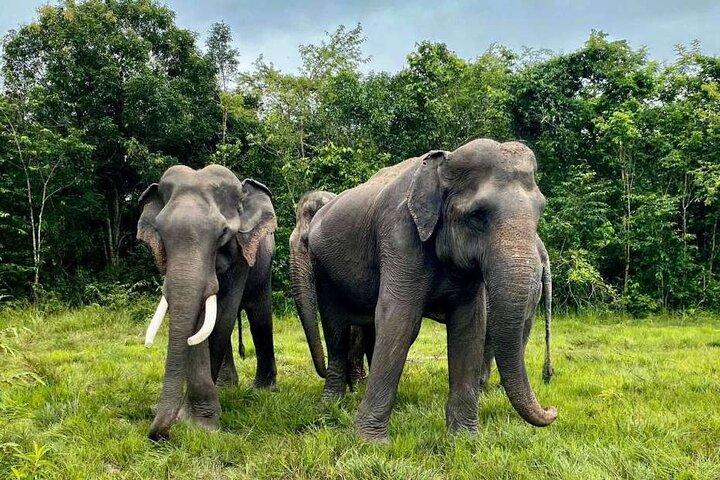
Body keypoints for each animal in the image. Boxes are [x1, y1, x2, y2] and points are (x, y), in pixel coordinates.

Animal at [137, 164, 277, 440]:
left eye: (223, 233)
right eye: (160, 233)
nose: (158, 435)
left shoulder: (240, 255)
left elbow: (221, 316)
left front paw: (200, 423)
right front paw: (193, 418)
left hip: (264, 262)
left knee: (258, 315)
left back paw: (263, 390)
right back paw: (226, 386)